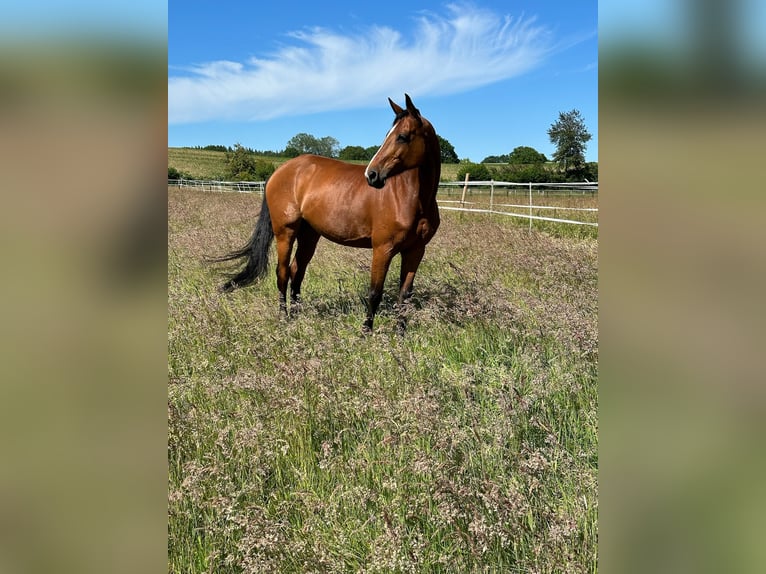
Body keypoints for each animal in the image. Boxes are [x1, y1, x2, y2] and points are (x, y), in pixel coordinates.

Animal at [216, 94, 444, 332]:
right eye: (388, 135)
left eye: (402, 136)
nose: (371, 175)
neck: (412, 199)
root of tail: (280, 171)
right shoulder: (383, 249)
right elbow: (374, 293)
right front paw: (366, 332)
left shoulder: (415, 251)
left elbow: (405, 295)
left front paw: (400, 333)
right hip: (285, 232)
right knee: (283, 273)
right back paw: (284, 317)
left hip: (309, 235)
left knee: (297, 271)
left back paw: (297, 315)